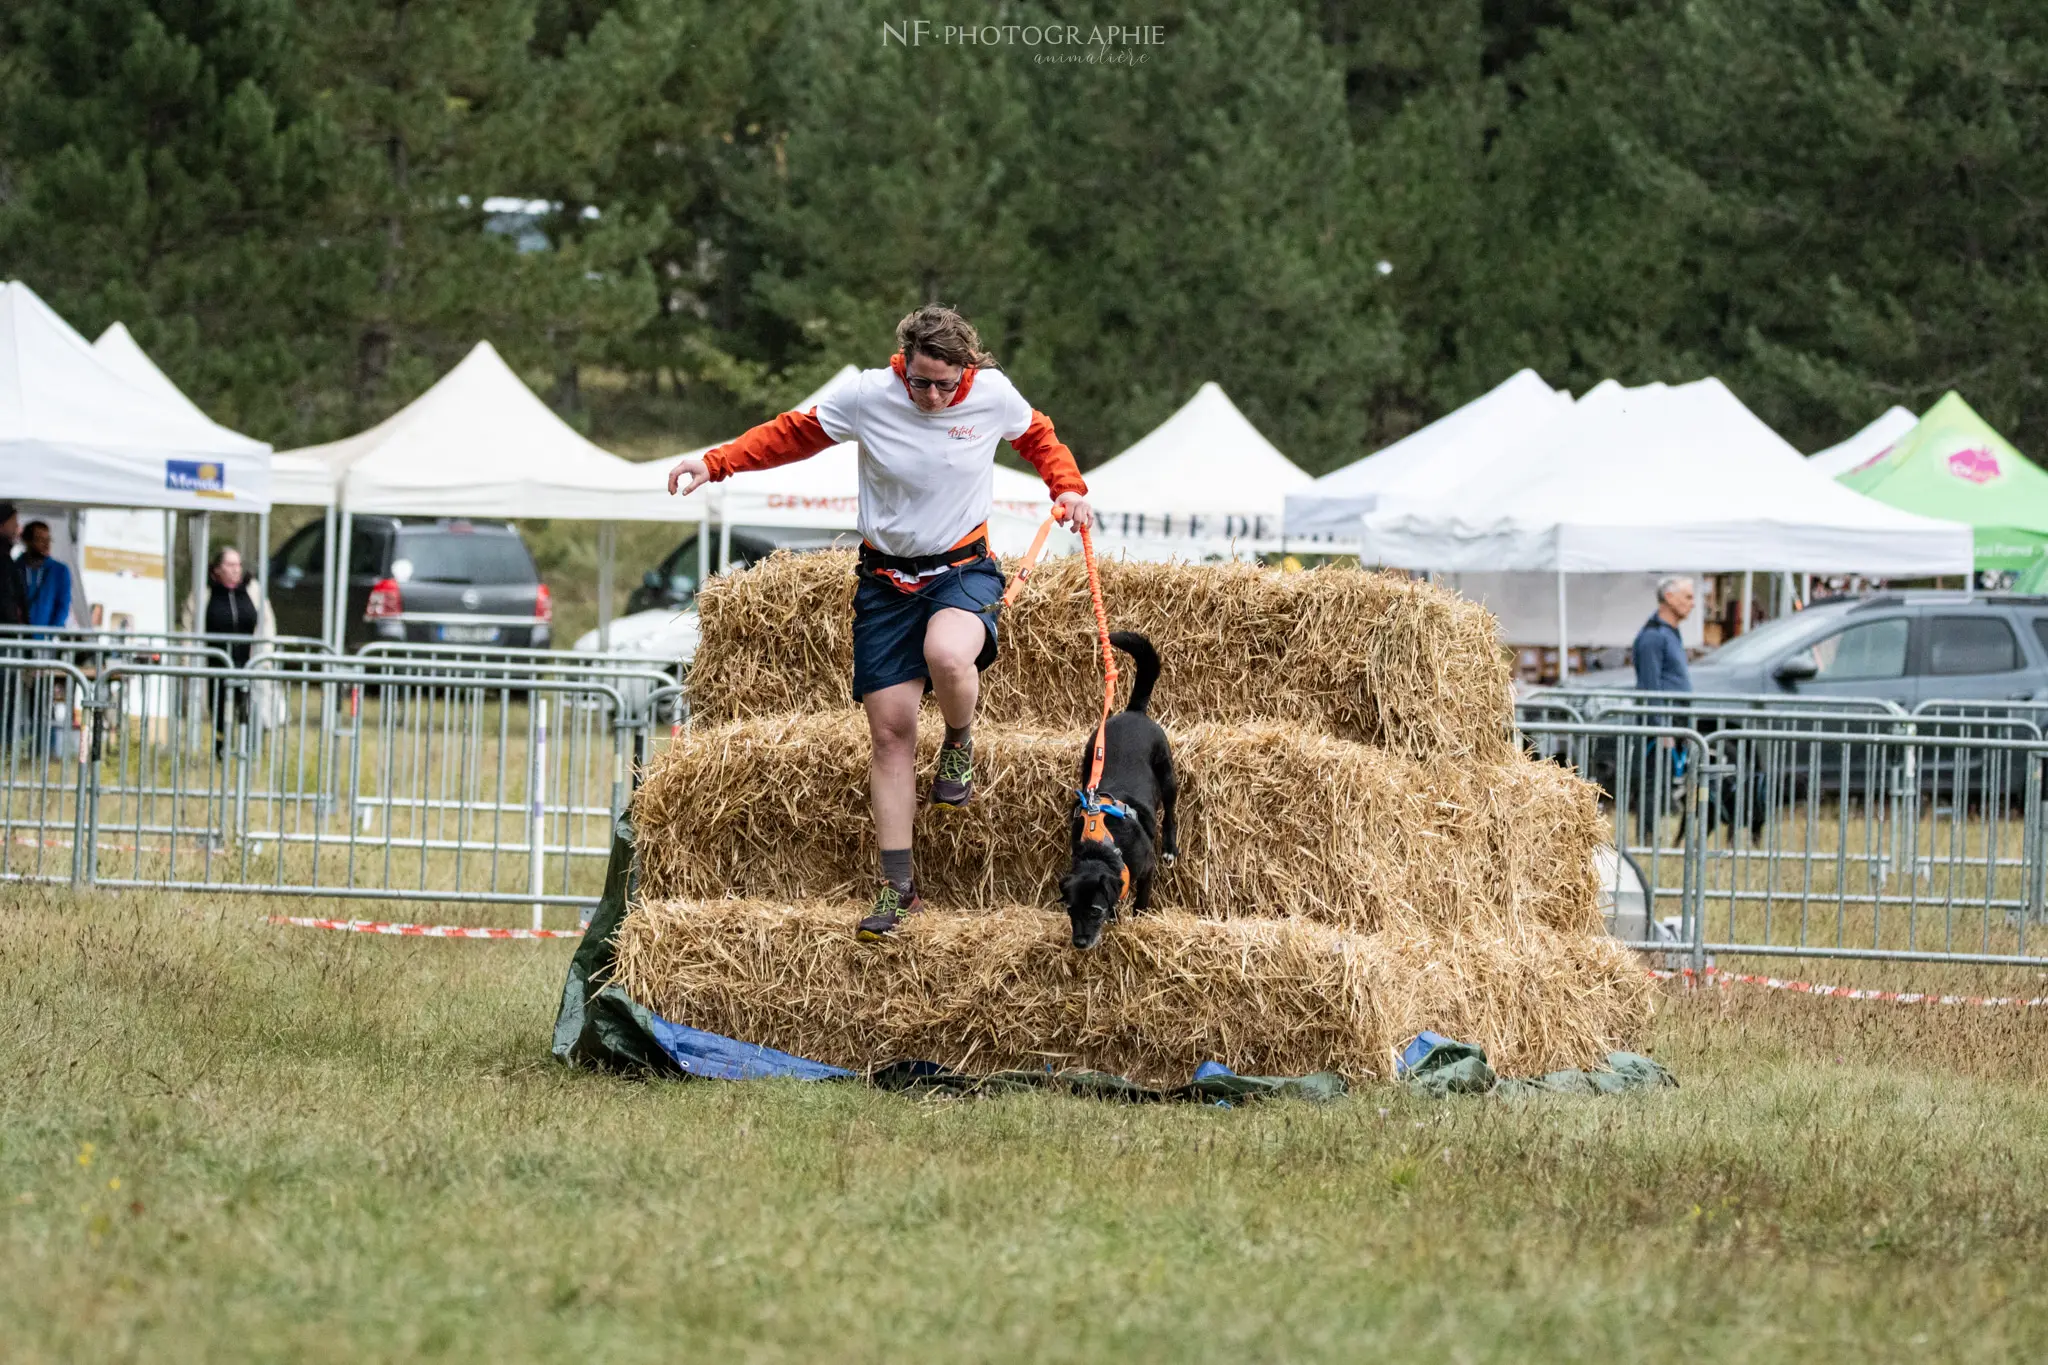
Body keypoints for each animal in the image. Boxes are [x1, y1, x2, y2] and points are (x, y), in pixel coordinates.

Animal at [1064, 634, 1179, 945]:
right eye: (1070, 909)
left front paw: (1140, 917)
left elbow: (1142, 898)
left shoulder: (1147, 867)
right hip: (1088, 762)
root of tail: (1133, 711)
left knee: (1171, 811)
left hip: (1167, 774)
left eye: (1094, 909)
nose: (1080, 943)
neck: (1104, 848)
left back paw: (1171, 848)